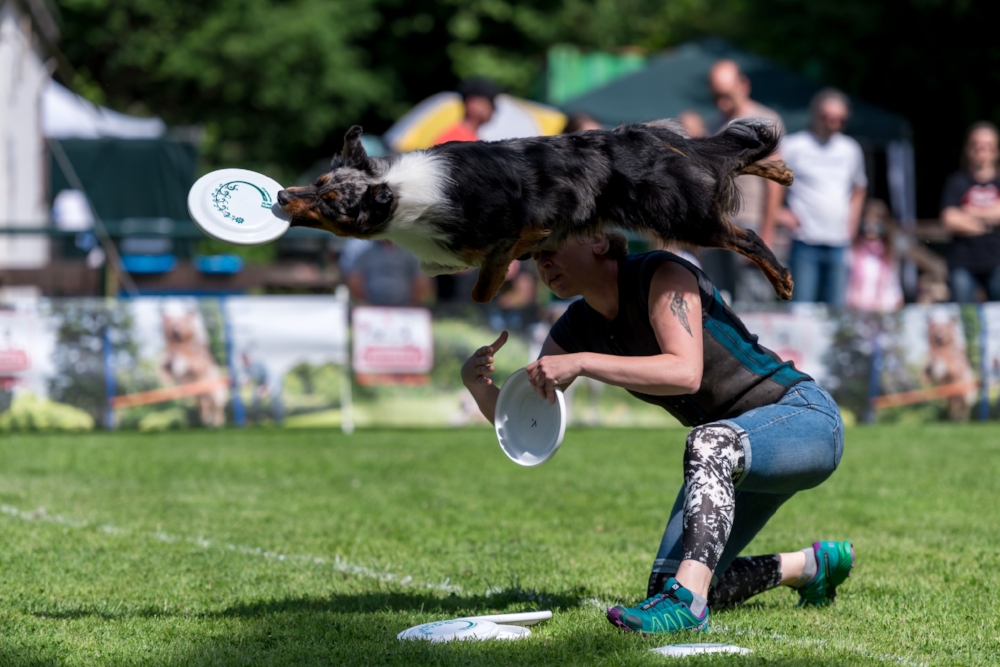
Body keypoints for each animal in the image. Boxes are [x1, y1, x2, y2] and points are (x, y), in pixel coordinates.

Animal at [278, 119, 792, 302]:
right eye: (319, 183)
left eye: (331, 202)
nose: (281, 196)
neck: (400, 190)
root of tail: (644, 137)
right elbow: (437, 264)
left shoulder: (507, 234)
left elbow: (481, 288)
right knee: (722, 155)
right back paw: (780, 168)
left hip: (680, 216)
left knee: (746, 235)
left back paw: (783, 279)